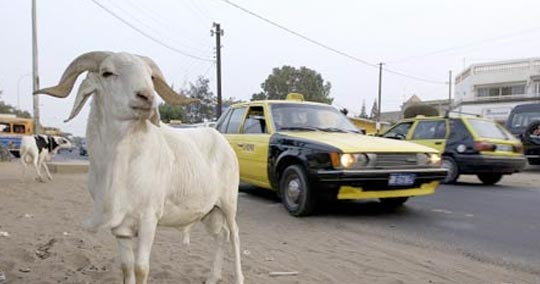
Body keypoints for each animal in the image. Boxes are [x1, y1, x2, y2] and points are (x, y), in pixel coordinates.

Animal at [35, 51, 243, 284]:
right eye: (107, 73)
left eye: (150, 76)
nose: (148, 97)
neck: (121, 168)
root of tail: (221, 138)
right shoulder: (121, 229)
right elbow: (127, 267)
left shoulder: (148, 220)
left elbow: (142, 268)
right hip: (210, 211)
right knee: (221, 236)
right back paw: (212, 277)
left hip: (229, 203)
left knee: (234, 236)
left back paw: (239, 278)